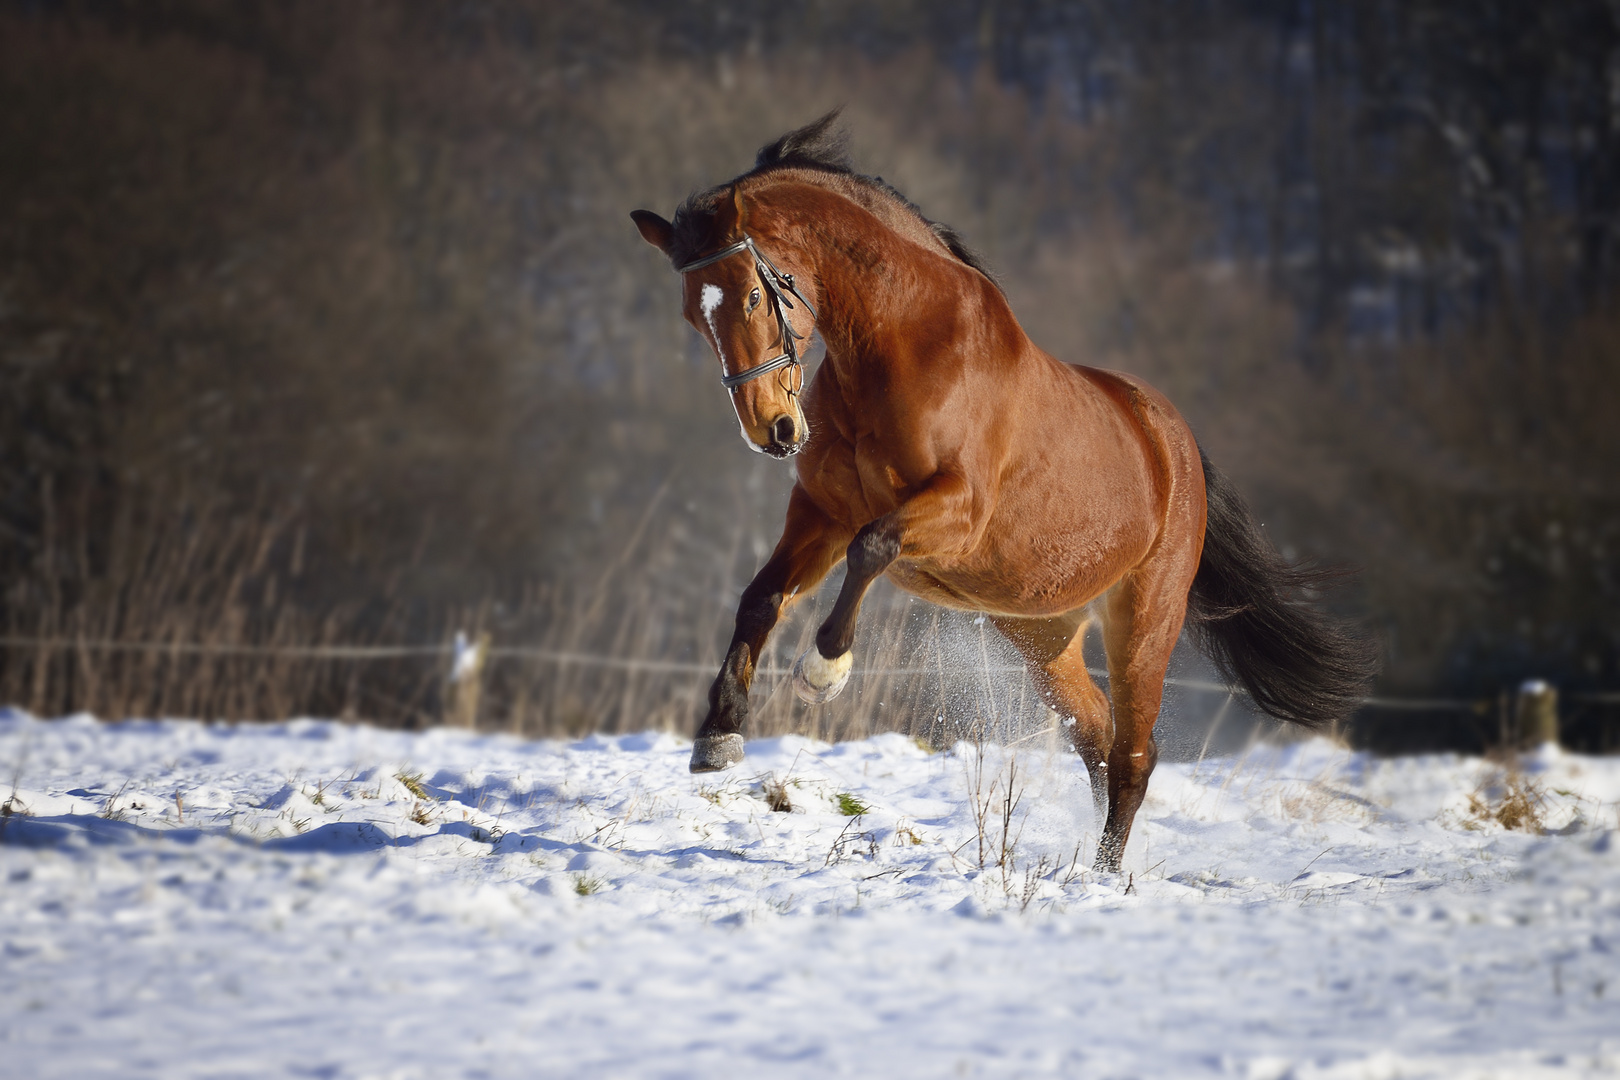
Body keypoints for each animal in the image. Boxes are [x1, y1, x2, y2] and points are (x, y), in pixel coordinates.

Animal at [628, 116, 1367, 867]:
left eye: (754, 294)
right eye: (694, 315)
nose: (773, 430)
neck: (901, 347)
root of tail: (1176, 445)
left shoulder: (956, 511)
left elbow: (873, 548)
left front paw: (823, 670)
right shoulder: (821, 513)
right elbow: (762, 598)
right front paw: (718, 735)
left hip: (1144, 619)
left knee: (1134, 753)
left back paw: (1102, 878)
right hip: (1043, 632)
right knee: (1098, 738)